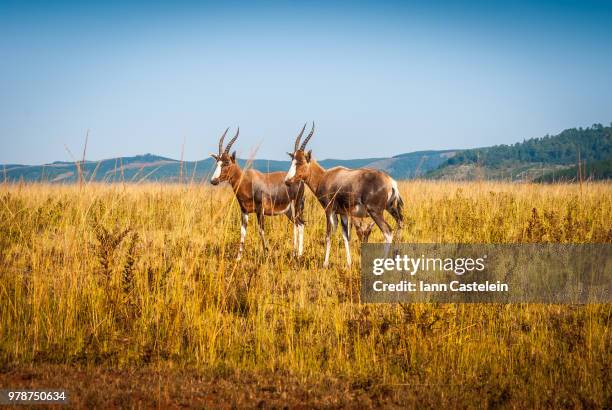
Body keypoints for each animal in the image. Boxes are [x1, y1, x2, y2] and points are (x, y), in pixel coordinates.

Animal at [210, 126, 306, 260]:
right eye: (217, 162)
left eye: (227, 162)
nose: (213, 180)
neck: (248, 180)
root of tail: (300, 181)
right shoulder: (244, 211)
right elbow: (242, 232)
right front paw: (238, 258)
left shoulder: (260, 211)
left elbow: (261, 230)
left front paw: (267, 253)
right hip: (288, 212)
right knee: (300, 224)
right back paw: (298, 254)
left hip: (295, 207)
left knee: (299, 225)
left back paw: (297, 254)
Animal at [284, 123, 404, 268]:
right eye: (292, 160)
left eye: (300, 161)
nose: (287, 181)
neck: (325, 176)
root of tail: (390, 182)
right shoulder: (343, 213)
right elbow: (346, 236)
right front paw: (349, 263)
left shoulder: (329, 210)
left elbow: (328, 235)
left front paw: (325, 264)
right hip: (391, 209)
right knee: (400, 223)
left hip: (375, 212)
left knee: (388, 232)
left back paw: (381, 265)